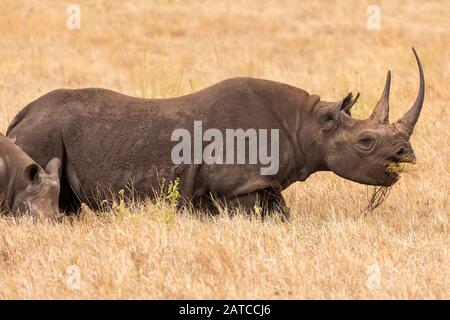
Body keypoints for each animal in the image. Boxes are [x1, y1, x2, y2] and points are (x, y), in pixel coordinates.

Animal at [7, 48, 426, 216]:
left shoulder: (264, 184)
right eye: (366, 141)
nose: (407, 155)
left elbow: (281, 215)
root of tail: (22, 115)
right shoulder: (236, 187)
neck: (307, 124)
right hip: (42, 134)